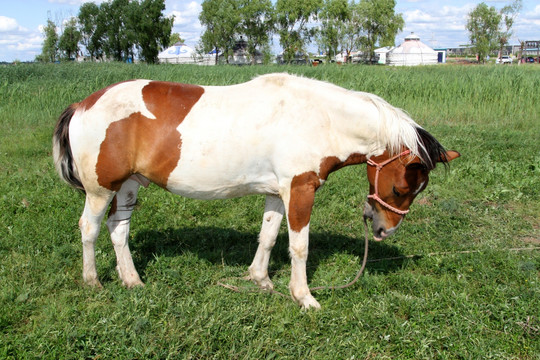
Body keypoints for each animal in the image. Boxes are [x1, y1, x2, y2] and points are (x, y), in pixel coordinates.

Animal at [51, 74, 460, 310]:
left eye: (417, 189)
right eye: (403, 186)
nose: (382, 229)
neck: (320, 117)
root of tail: (83, 104)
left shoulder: (277, 192)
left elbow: (269, 236)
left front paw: (261, 281)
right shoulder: (300, 189)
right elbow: (299, 246)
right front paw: (304, 297)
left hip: (129, 185)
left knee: (118, 230)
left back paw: (132, 280)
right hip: (101, 189)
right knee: (89, 228)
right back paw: (93, 281)